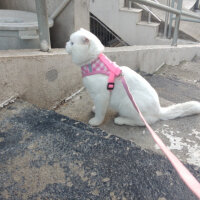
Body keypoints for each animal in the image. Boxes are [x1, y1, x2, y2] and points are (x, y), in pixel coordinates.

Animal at [65, 27, 200, 126]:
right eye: (69, 41)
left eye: (72, 43)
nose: (66, 44)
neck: (93, 63)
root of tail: (159, 110)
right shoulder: (99, 96)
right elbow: (98, 108)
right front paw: (94, 109)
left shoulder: (101, 95)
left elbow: (100, 112)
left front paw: (96, 122)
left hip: (127, 102)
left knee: (144, 122)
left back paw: (121, 120)